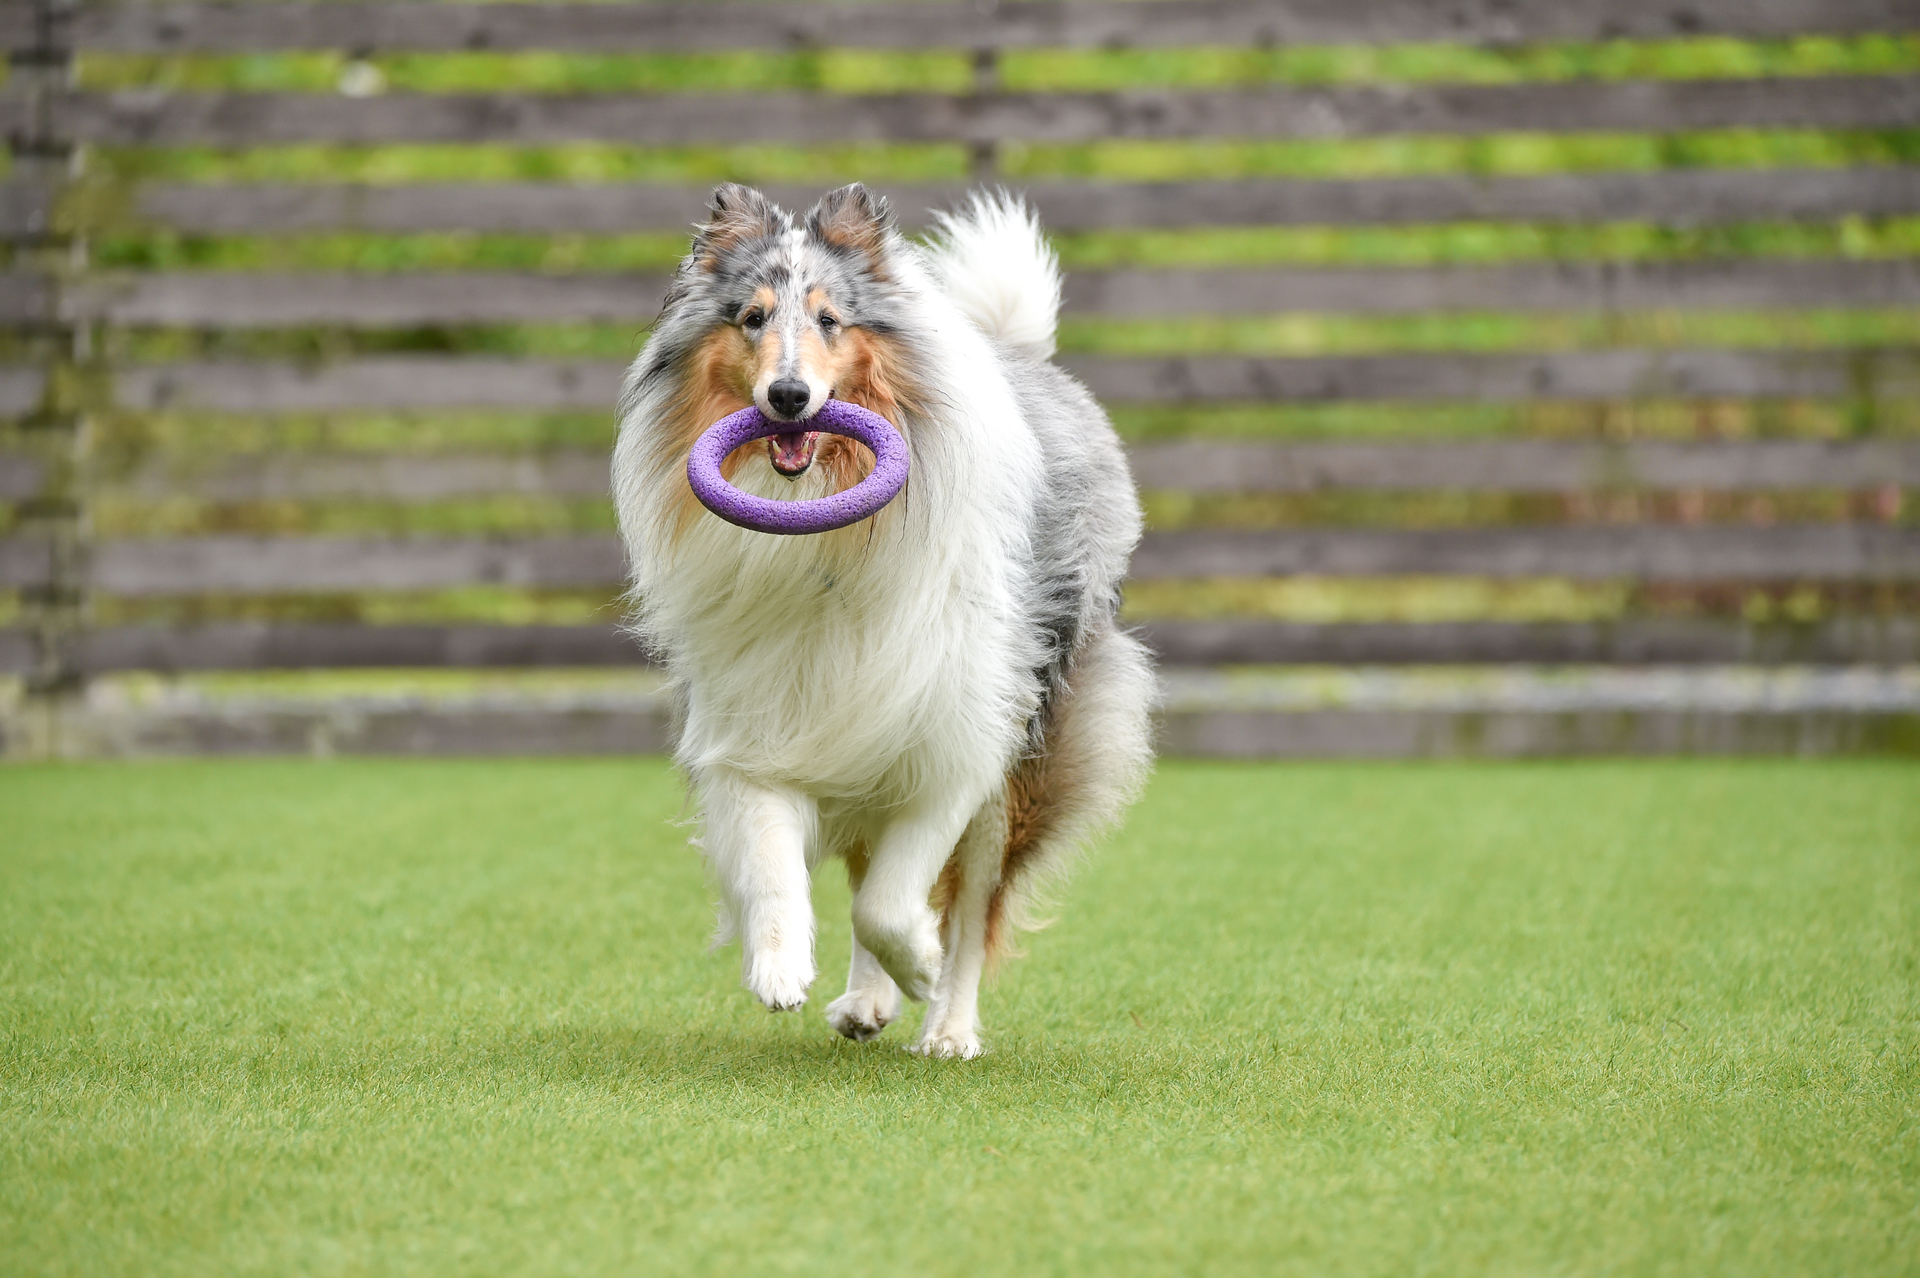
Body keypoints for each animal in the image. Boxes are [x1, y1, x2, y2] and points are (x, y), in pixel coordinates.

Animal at [614, 181, 1152, 1051]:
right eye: (752, 317)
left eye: (832, 320)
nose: (788, 398)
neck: (816, 530)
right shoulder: (760, 724)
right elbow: (772, 861)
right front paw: (778, 968)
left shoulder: (953, 741)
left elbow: (896, 902)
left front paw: (923, 967)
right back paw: (866, 1002)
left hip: (1021, 757)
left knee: (970, 904)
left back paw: (949, 1028)